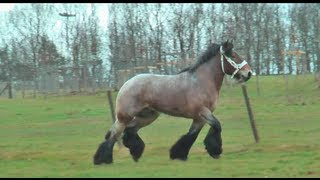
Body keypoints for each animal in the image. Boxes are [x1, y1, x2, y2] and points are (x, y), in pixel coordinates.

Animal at [92, 39, 252, 165]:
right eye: (233, 56)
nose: (249, 73)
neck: (201, 82)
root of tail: (126, 84)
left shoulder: (199, 117)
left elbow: (191, 135)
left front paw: (179, 155)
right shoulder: (203, 112)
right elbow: (217, 126)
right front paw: (215, 151)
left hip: (148, 116)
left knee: (130, 130)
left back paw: (135, 154)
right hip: (124, 117)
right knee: (114, 135)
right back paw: (103, 160)